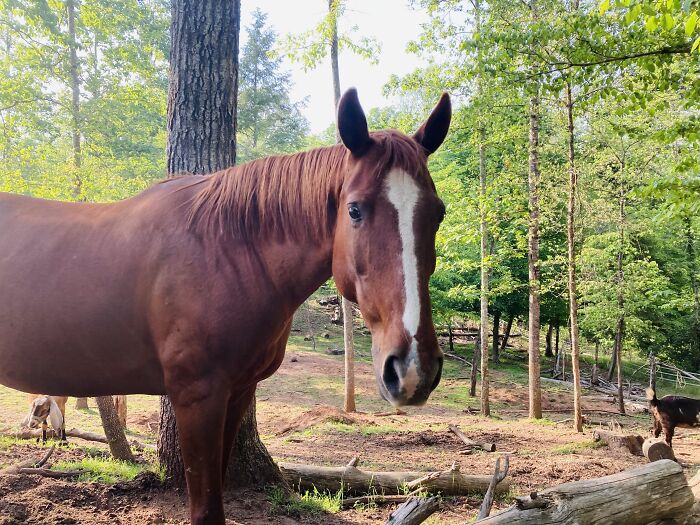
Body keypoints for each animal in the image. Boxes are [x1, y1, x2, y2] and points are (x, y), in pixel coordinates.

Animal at [0, 88, 450, 524]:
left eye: (439, 214)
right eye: (354, 209)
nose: (414, 369)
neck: (225, 252)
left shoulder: (237, 392)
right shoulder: (197, 398)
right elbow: (205, 509)